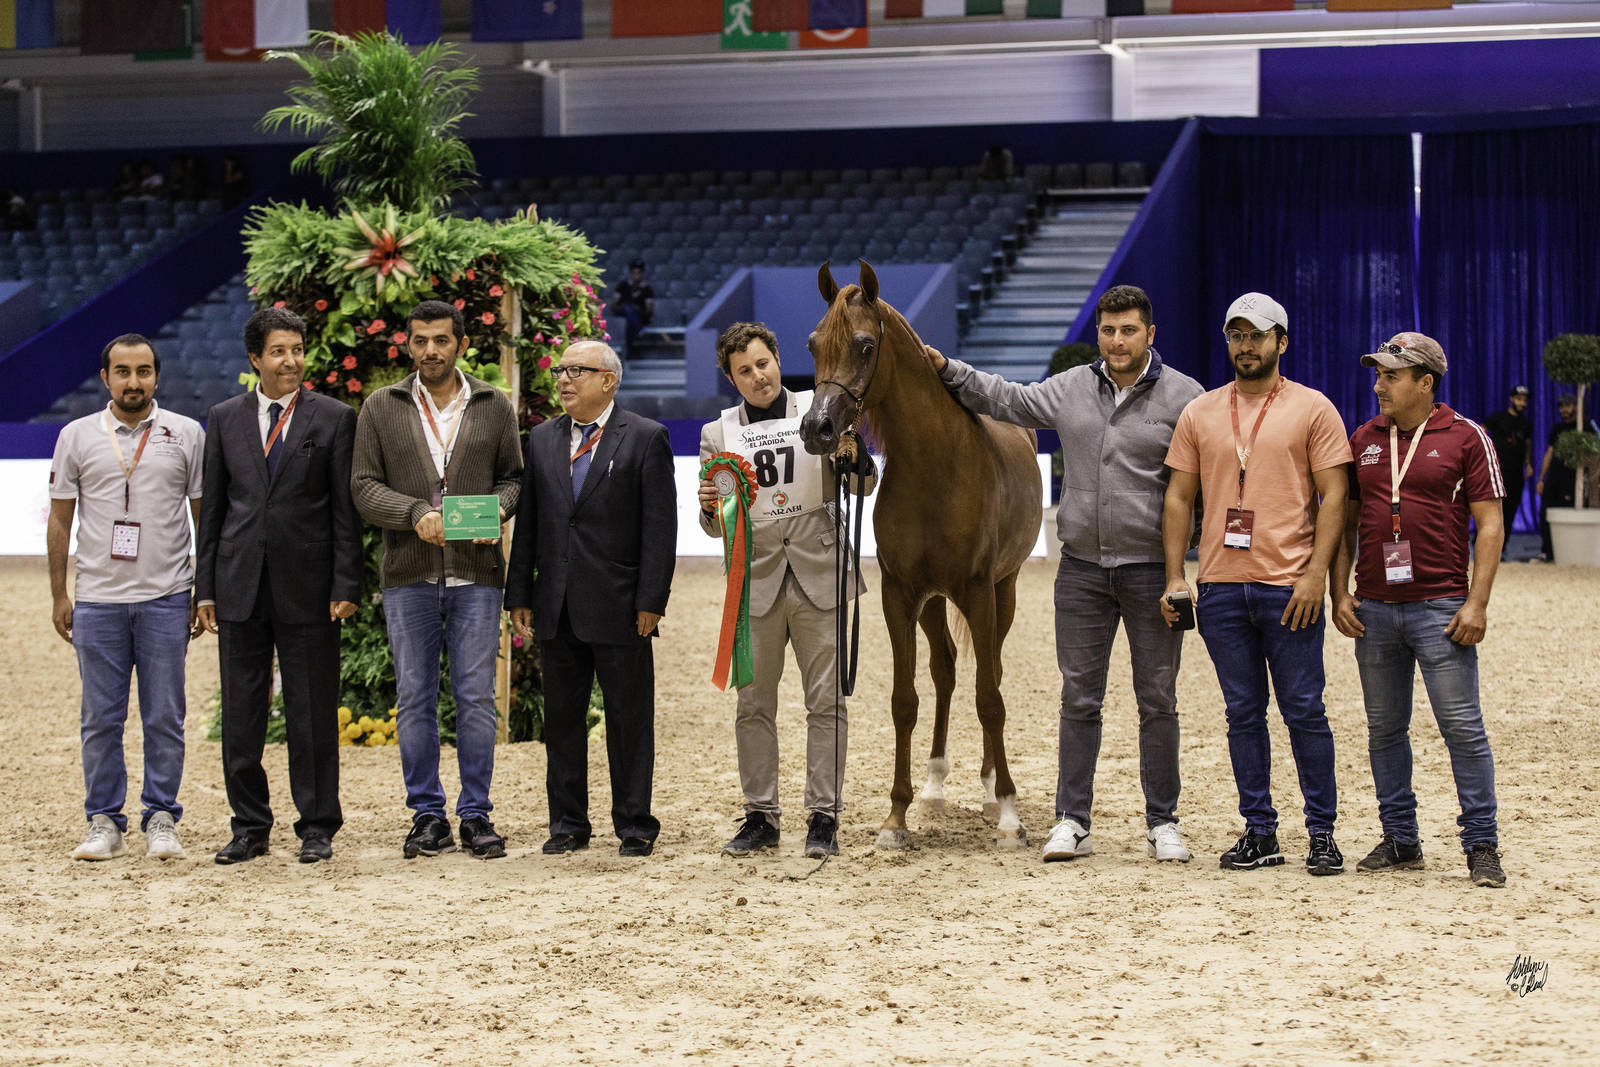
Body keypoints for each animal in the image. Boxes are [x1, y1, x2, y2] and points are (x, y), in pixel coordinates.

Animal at [799, 260, 1043, 850]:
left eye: (865, 346)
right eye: (814, 344)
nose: (816, 429)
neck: (937, 466)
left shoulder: (978, 591)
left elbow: (990, 698)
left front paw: (1008, 814)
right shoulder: (900, 594)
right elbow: (904, 700)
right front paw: (897, 816)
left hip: (1003, 592)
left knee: (990, 672)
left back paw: (989, 790)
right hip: (933, 602)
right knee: (947, 671)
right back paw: (934, 785)